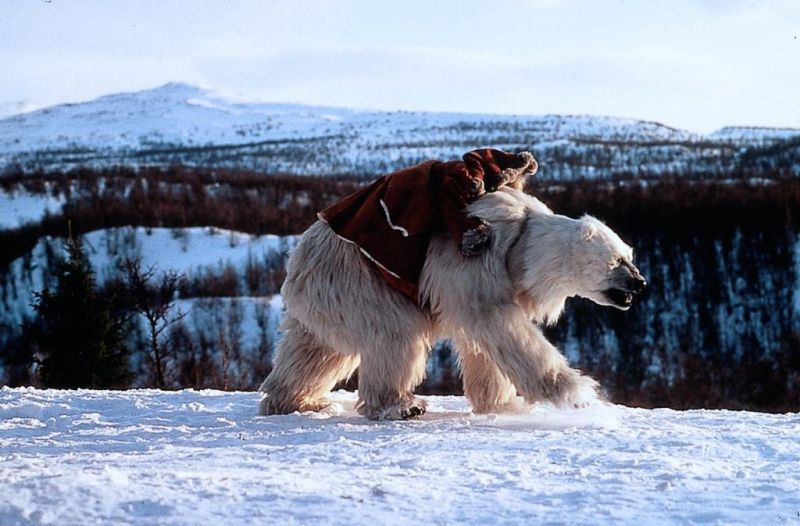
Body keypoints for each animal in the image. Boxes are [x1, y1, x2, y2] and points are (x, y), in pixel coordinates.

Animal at [260, 189, 648, 420]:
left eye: (629, 256)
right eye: (617, 261)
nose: (641, 283)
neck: (522, 245)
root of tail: (298, 256)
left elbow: (483, 341)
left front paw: (503, 403)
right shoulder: (475, 258)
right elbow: (496, 322)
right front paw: (577, 393)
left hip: (327, 296)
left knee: (314, 349)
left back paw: (295, 400)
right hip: (360, 281)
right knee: (396, 336)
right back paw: (402, 405)